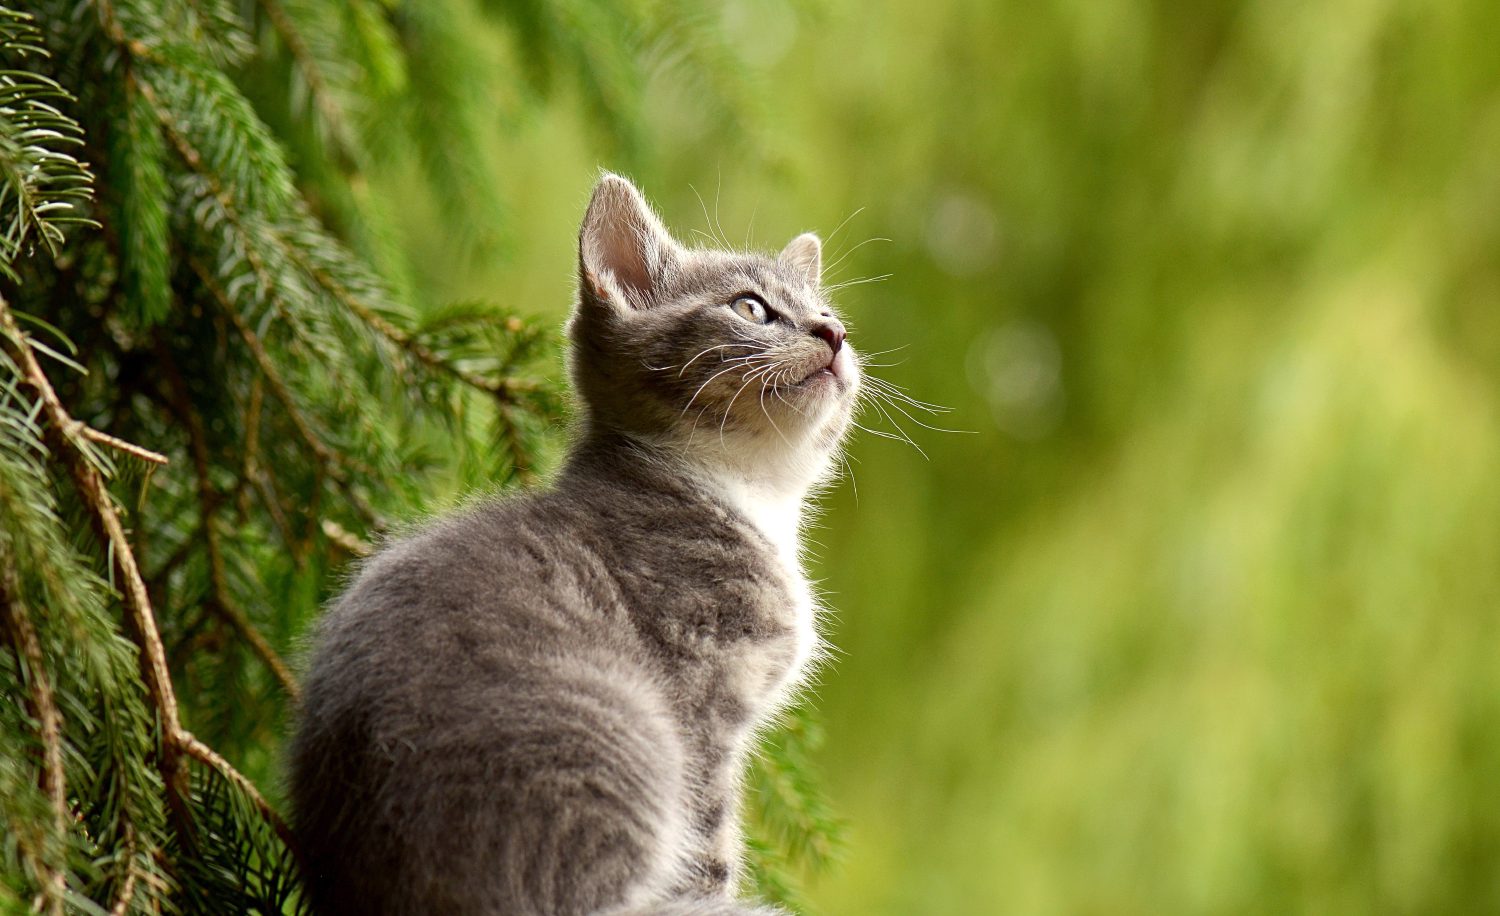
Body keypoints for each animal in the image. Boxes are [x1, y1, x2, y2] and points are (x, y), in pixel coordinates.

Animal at [288, 173, 864, 916]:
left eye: (824, 310)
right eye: (750, 307)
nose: (835, 332)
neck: (748, 493)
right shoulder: (701, 700)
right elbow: (708, 846)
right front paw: (719, 894)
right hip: (620, 736)